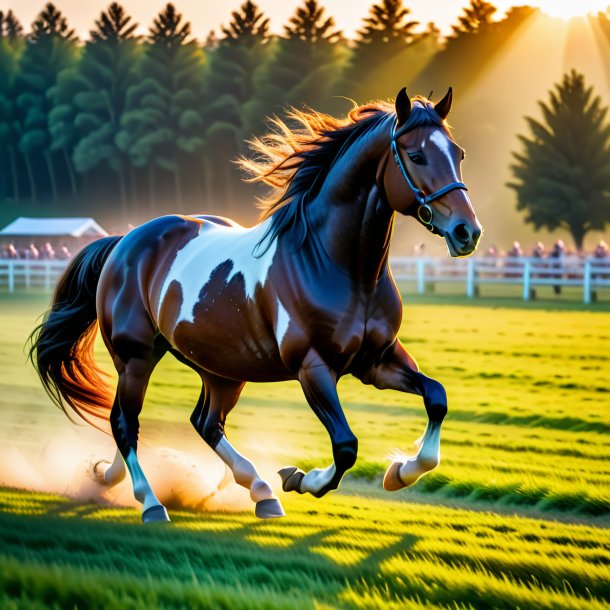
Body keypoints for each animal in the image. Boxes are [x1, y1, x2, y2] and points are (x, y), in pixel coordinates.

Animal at [30, 88, 480, 520]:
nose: (467, 232)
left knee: (205, 423)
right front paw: (301, 478)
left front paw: (399, 471)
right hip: (135, 357)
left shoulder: (376, 360)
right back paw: (151, 502)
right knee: (126, 423)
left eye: (458, 153)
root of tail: (123, 242)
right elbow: (345, 445)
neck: (336, 266)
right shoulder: (313, 367)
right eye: (416, 155)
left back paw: (251, 491)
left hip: (221, 368)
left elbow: (436, 398)